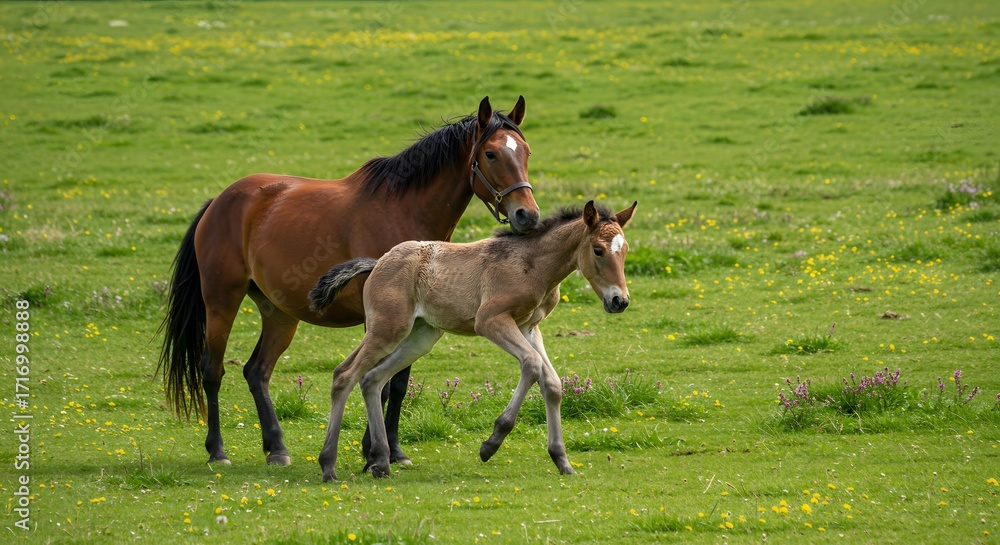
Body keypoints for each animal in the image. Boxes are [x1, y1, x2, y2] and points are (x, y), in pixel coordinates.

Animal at [157, 96, 540, 467]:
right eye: (490, 153)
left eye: (526, 151)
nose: (528, 215)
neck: (404, 212)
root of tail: (219, 201)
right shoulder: (381, 317)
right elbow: (378, 380)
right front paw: (373, 452)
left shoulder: (413, 317)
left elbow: (397, 383)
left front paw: (393, 450)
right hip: (221, 301)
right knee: (212, 370)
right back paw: (217, 450)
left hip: (279, 312)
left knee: (257, 371)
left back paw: (276, 447)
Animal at [308, 200, 637, 480]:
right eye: (598, 250)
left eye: (624, 251)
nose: (619, 301)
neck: (533, 264)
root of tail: (378, 263)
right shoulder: (491, 320)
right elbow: (532, 365)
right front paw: (491, 444)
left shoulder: (529, 327)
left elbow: (553, 384)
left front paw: (561, 459)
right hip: (387, 329)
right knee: (345, 374)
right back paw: (328, 465)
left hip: (421, 336)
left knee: (372, 379)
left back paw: (379, 461)